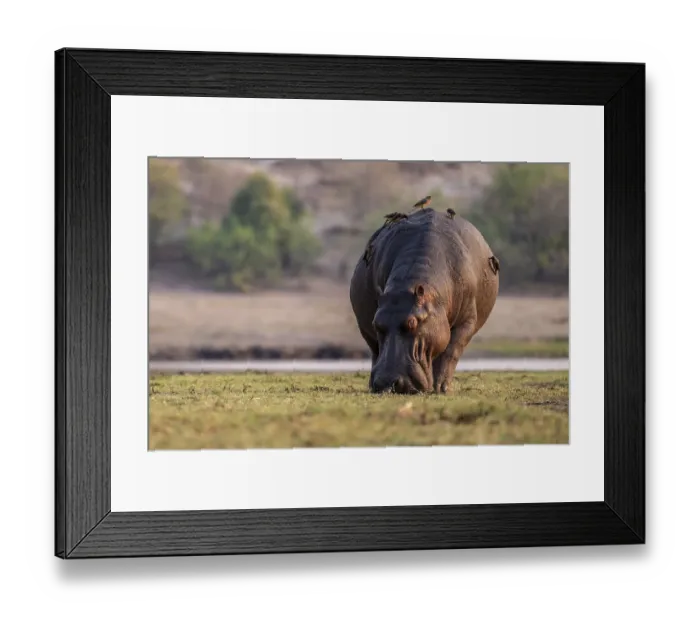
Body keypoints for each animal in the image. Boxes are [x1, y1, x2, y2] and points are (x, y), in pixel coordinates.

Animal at [349, 207, 499, 394]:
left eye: (412, 322)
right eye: (376, 324)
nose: (388, 382)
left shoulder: (467, 320)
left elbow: (451, 351)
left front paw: (442, 388)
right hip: (365, 330)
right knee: (375, 351)